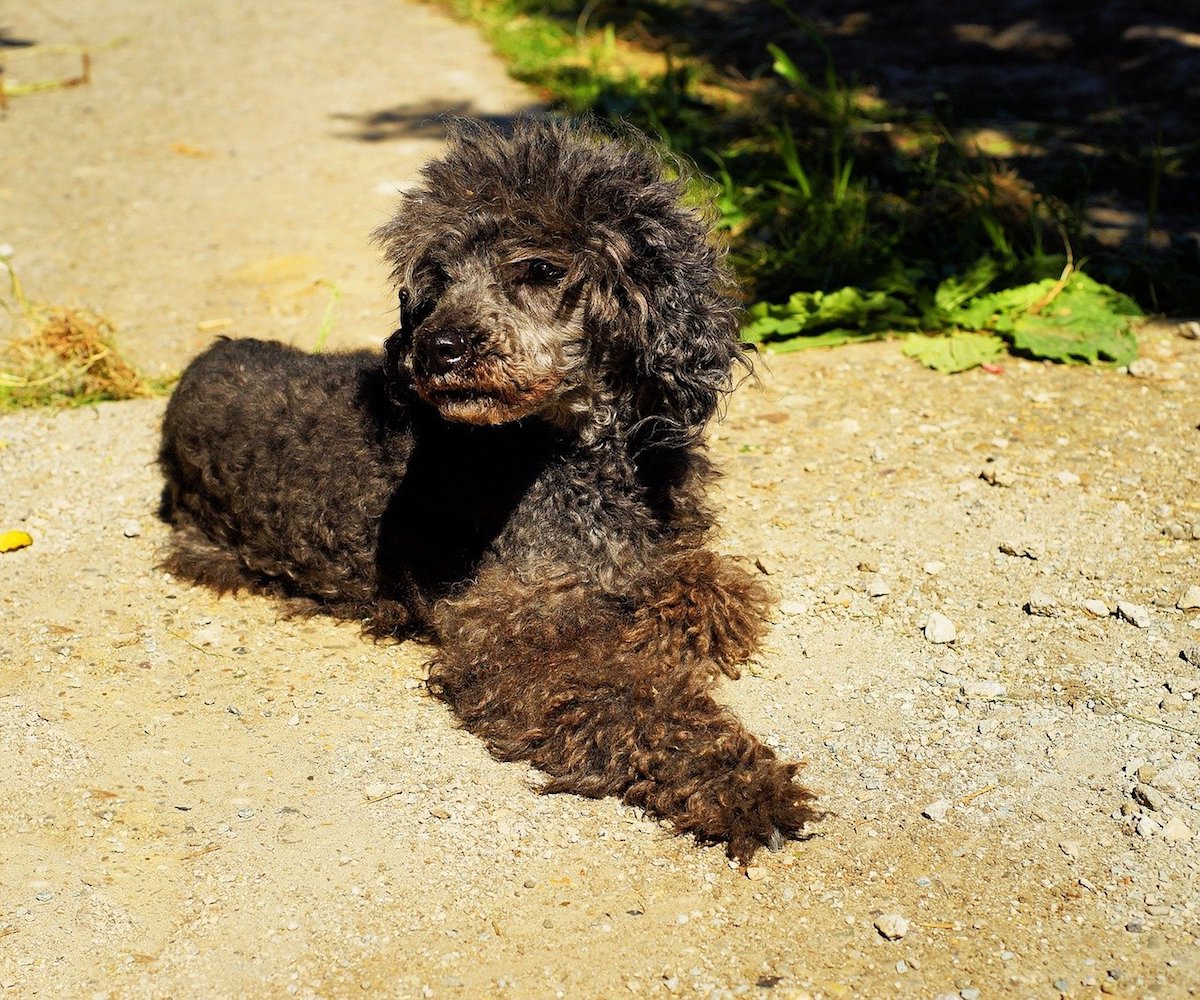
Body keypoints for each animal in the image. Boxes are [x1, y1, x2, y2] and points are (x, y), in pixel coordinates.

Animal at [157, 117, 816, 864]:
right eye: (437, 281)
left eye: (540, 270)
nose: (435, 349)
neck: (576, 459)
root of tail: (204, 360)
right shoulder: (514, 630)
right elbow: (631, 697)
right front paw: (739, 780)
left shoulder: (666, 552)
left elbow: (709, 590)